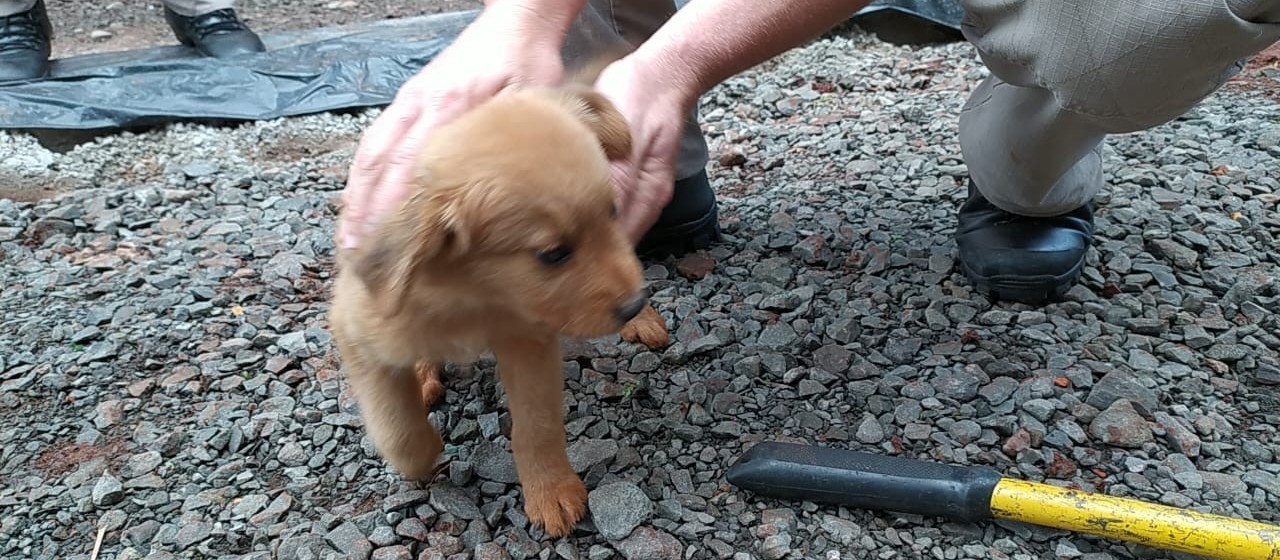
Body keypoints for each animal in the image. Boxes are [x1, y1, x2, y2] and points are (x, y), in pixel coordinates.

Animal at [327, 70, 670, 536]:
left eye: (613, 212)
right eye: (553, 254)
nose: (634, 304)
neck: (477, 296)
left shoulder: (529, 343)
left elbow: (537, 425)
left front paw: (551, 491)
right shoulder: (359, 336)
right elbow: (396, 427)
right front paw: (423, 454)